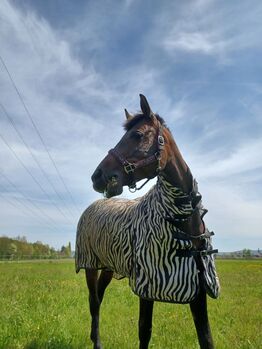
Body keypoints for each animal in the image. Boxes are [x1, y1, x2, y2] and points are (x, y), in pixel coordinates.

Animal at [75, 94, 219, 346]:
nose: (97, 177)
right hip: (89, 265)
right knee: (94, 302)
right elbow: (144, 331)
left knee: (99, 298)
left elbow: (206, 337)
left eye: (137, 135)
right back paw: (97, 342)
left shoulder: (199, 290)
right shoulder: (147, 287)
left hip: (108, 267)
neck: (182, 222)